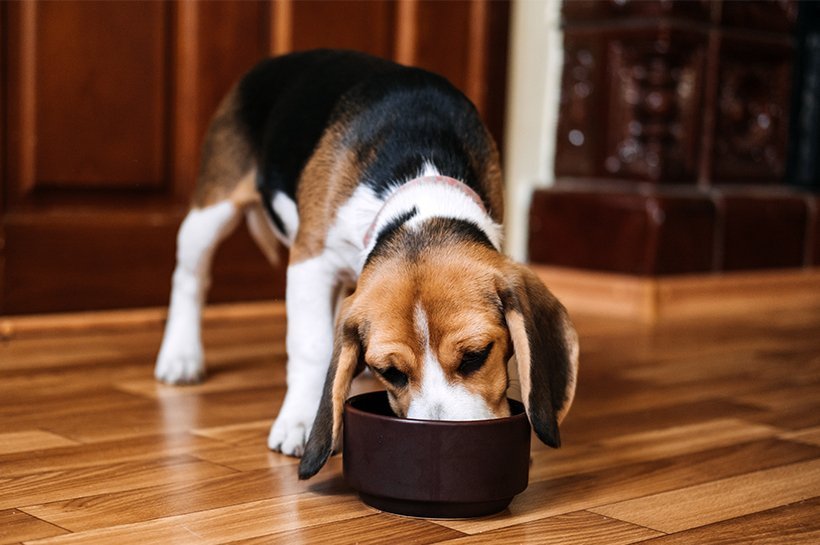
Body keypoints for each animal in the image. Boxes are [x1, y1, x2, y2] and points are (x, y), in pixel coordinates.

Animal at [154, 50, 576, 476]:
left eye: (476, 356)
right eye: (391, 373)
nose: (443, 444)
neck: (421, 181)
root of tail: (276, 60)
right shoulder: (310, 261)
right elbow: (310, 345)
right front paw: (301, 420)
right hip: (211, 212)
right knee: (190, 278)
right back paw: (180, 356)